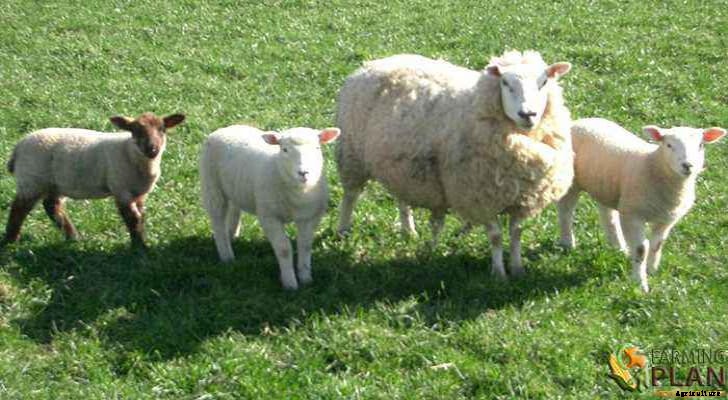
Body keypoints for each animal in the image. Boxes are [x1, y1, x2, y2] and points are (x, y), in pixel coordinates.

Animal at [2, 112, 186, 248]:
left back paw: (73, 237)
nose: (152, 149)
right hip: (31, 180)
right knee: (18, 209)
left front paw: (141, 241)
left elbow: (141, 217)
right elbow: (132, 218)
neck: (129, 151)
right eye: (135, 130)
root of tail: (18, 147)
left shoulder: (139, 194)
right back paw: (11, 239)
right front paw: (139, 247)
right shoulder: (121, 189)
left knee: (52, 206)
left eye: (162, 129)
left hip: (55, 183)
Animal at [199, 125, 340, 290]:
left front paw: (306, 278)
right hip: (211, 185)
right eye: (284, 150)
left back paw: (232, 234)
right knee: (217, 221)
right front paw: (290, 283)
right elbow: (284, 249)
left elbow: (305, 245)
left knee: (234, 207)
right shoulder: (269, 216)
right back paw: (226, 255)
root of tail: (227, 127)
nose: (303, 173)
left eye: (317, 147)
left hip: (236, 186)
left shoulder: (309, 217)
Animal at [335, 50, 573, 278]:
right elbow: (496, 237)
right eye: (505, 83)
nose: (528, 114)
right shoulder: (478, 196)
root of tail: (375, 62)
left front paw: (517, 269)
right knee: (350, 196)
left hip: (399, 164)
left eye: (544, 82)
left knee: (402, 199)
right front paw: (498, 274)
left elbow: (516, 234)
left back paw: (409, 231)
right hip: (351, 155)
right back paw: (343, 230)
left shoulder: (522, 199)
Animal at [557, 118, 726, 292]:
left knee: (608, 216)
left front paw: (651, 270)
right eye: (669, 145)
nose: (688, 165)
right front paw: (640, 283)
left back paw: (619, 247)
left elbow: (657, 245)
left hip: (606, 186)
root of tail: (580, 121)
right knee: (566, 212)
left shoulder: (666, 219)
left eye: (701, 145)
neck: (653, 165)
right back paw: (568, 243)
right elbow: (640, 249)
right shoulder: (633, 215)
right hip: (571, 181)